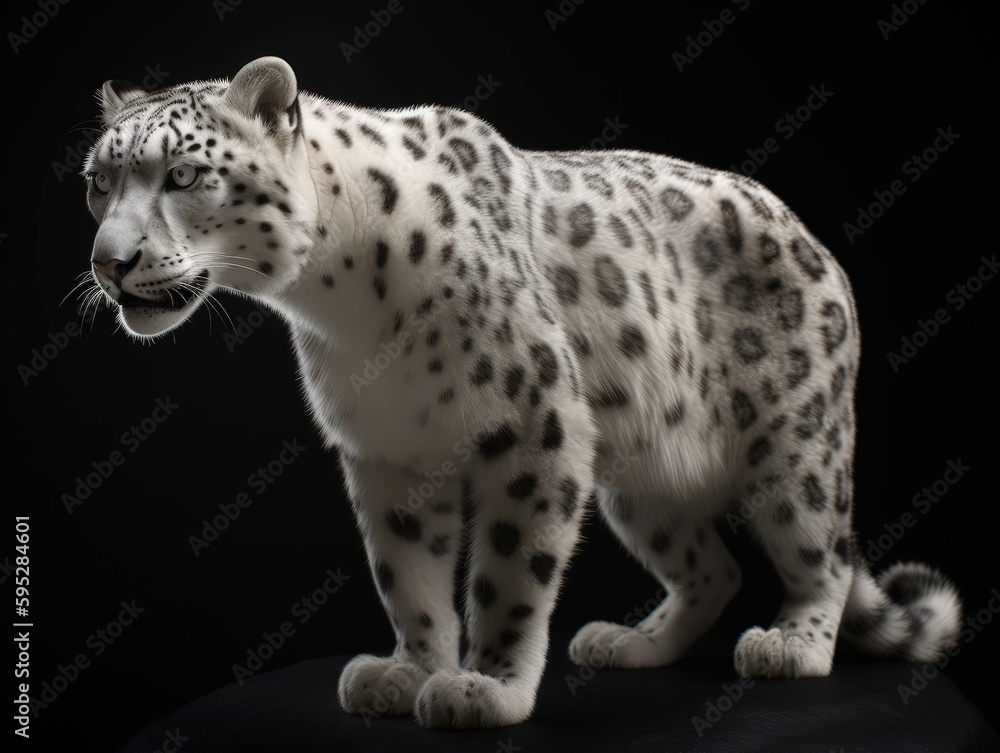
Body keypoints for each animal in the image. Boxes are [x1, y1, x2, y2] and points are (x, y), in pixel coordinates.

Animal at [81, 57, 962, 729]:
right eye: (96, 182)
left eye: (183, 173)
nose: (108, 262)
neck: (338, 304)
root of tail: (816, 243)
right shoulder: (388, 446)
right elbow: (406, 572)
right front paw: (408, 670)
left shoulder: (535, 421)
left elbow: (508, 569)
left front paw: (485, 686)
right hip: (639, 479)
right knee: (712, 567)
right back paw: (630, 640)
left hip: (798, 448)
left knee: (820, 554)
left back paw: (791, 644)